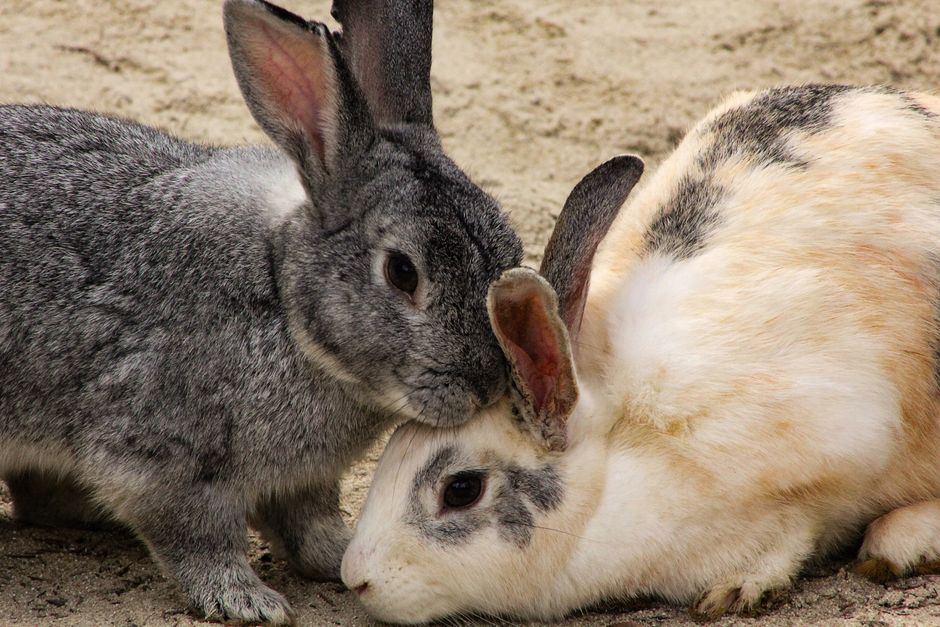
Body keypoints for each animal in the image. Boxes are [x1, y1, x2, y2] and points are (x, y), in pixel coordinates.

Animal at [0, 0, 523, 623]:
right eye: (403, 272)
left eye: (511, 248)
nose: (488, 384)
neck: (284, 300)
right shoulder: (161, 459)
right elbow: (198, 538)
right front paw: (246, 600)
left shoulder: (303, 482)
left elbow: (308, 526)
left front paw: (340, 558)